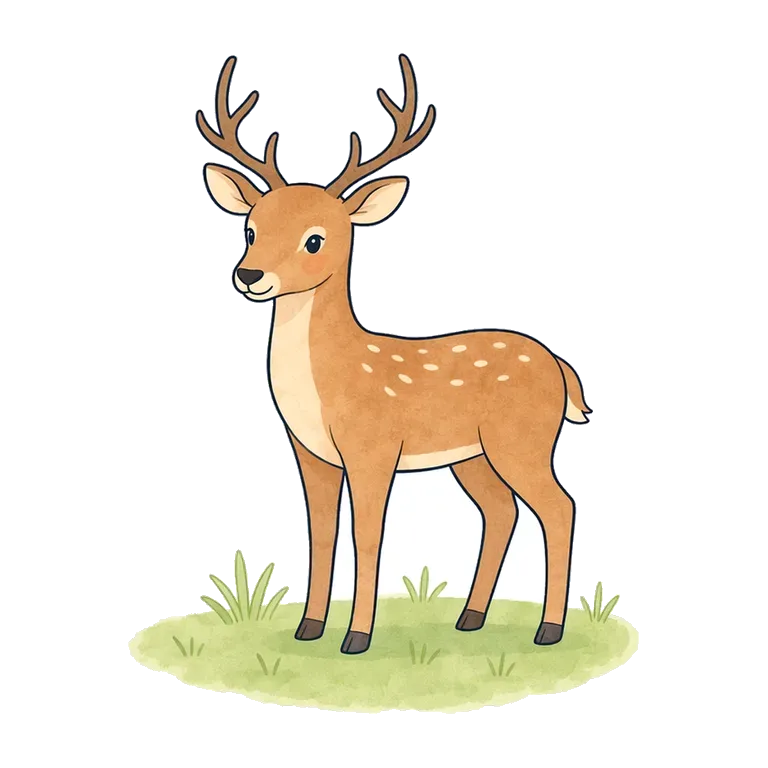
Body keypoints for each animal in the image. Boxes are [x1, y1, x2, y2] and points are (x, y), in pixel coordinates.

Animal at [195, 53, 591, 655]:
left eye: (315, 239)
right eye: (252, 228)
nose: (249, 275)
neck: (328, 383)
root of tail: (564, 369)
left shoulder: (373, 448)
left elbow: (368, 535)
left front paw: (356, 637)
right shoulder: (310, 453)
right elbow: (322, 534)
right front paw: (309, 629)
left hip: (522, 441)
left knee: (559, 506)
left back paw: (548, 630)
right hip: (472, 456)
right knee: (501, 512)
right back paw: (470, 617)